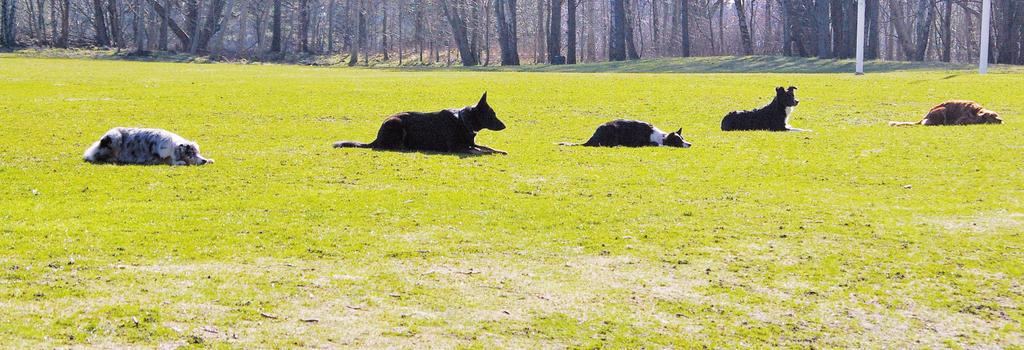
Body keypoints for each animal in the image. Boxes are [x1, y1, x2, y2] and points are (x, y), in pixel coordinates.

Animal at [84, 127, 217, 165]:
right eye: (191, 154)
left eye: (197, 153)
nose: (204, 161)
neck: (173, 147)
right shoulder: (155, 157)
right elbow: (170, 160)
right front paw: (180, 162)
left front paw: (210, 159)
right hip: (114, 137)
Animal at [335, 91, 507, 154]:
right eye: (492, 114)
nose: (505, 126)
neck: (463, 120)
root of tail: (376, 138)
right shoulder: (457, 147)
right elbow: (479, 150)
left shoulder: (470, 143)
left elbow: (486, 147)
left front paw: (499, 151)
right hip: (396, 122)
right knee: (392, 146)